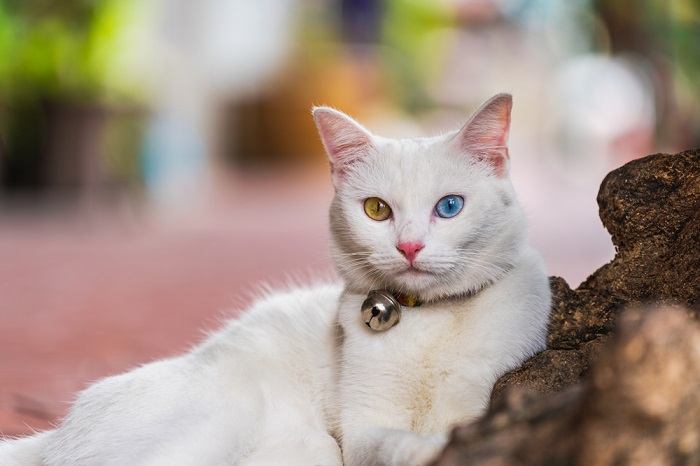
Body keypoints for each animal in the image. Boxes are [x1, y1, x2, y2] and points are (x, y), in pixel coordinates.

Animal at [1, 94, 552, 466]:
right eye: (377, 209)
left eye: (450, 207)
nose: (410, 246)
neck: (427, 322)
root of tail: (54, 437)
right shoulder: (363, 429)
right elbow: (390, 443)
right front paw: (426, 449)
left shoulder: (482, 390)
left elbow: (462, 422)